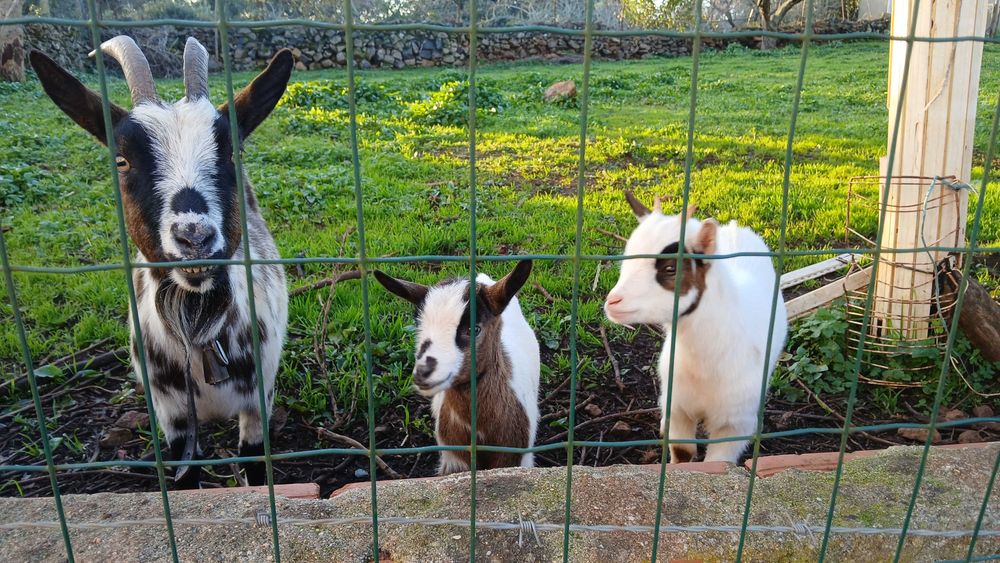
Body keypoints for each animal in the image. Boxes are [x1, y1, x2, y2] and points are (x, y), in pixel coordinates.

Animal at [30, 37, 292, 487]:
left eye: (232, 152)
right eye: (121, 160)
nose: (194, 238)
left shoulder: (259, 400)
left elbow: (256, 469)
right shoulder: (173, 418)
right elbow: (185, 477)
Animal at [603, 191, 787, 464]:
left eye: (671, 268)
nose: (612, 302)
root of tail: (734, 228)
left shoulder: (734, 424)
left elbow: (718, 464)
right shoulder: (679, 407)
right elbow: (683, 453)